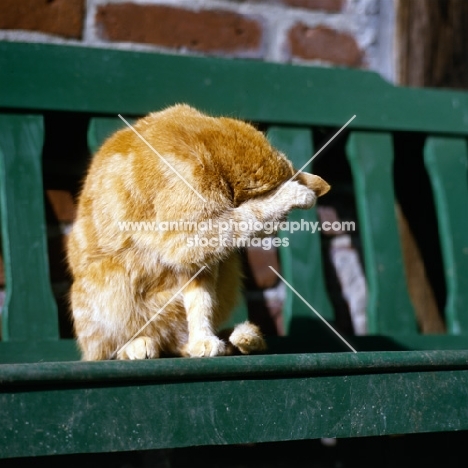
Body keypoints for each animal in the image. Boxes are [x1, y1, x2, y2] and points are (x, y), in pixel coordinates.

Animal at [66, 105, 330, 362]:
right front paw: (292, 194)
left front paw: (202, 339)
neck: (210, 152)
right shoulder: (186, 239)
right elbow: (250, 212)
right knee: (108, 349)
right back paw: (135, 346)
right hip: (111, 279)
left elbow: (201, 302)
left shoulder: (201, 262)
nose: (275, 231)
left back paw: (241, 339)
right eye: (279, 220)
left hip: (228, 269)